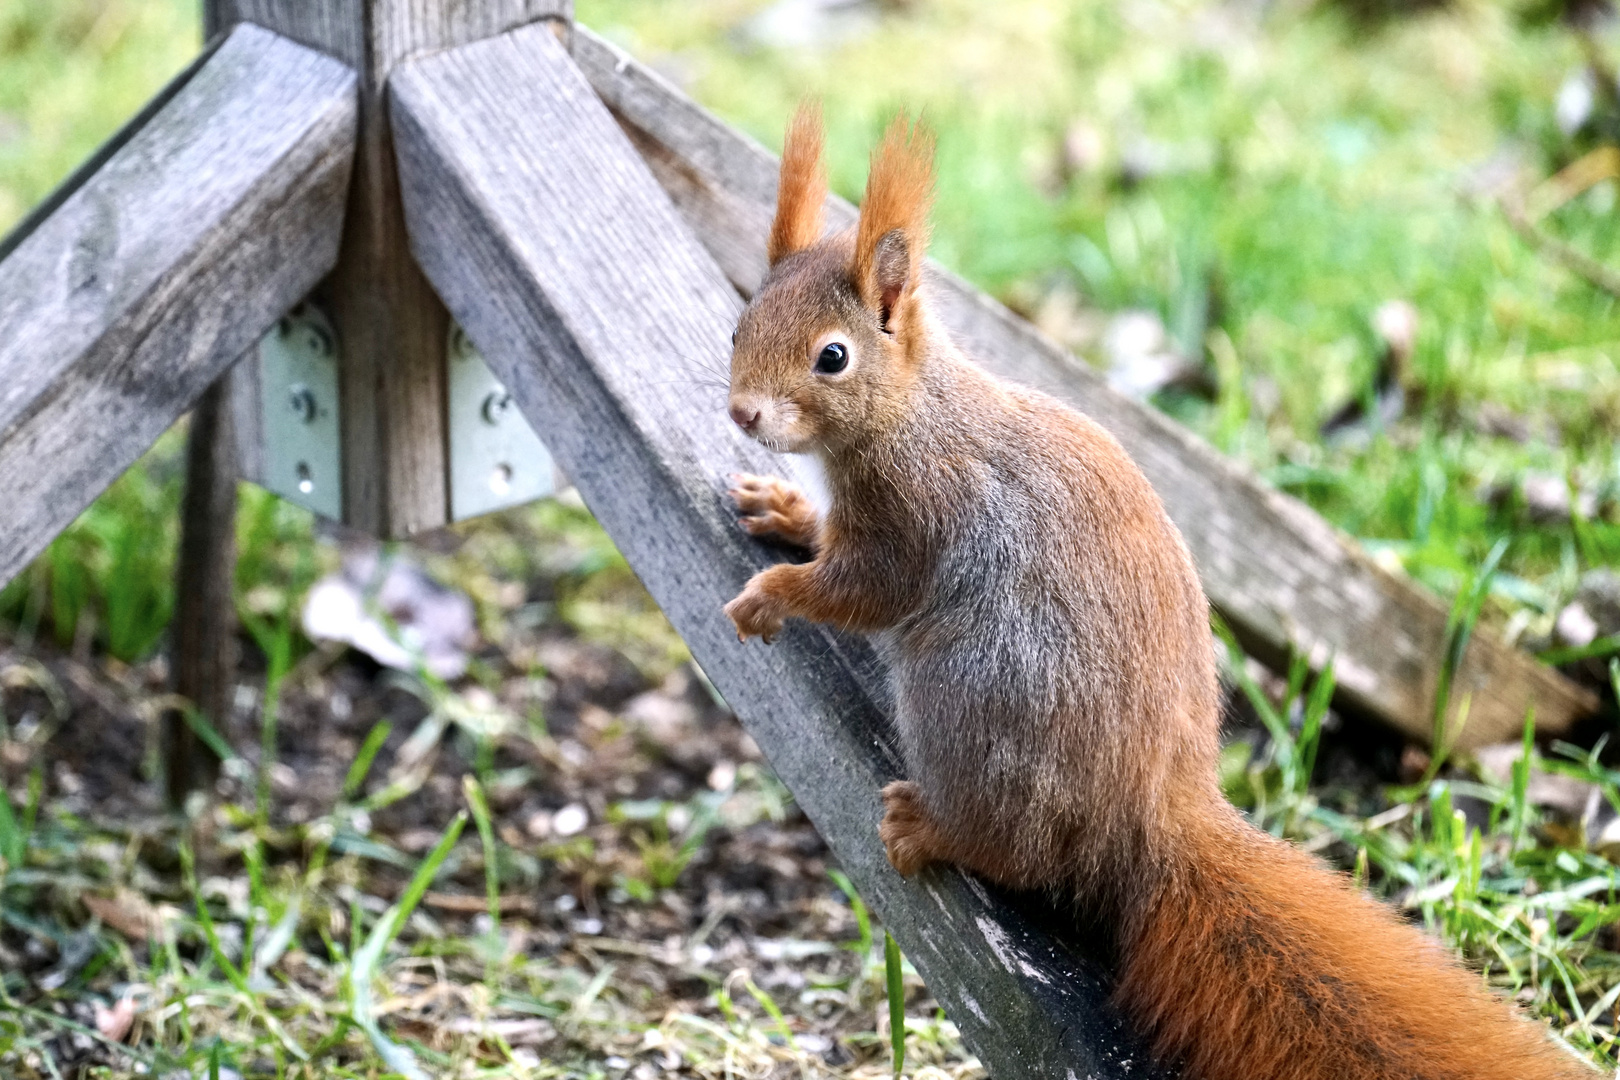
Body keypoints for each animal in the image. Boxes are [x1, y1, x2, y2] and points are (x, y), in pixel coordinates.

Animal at [716, 105, 1587, 1080]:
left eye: (832, 357)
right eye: (745, 320)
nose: (744, 412)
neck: (910, 412)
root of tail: (1153, 819)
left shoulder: (918, 512)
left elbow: (863, 590)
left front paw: (776, 592)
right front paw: (787, 507)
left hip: (974, 694)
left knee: (1022, 849)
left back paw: (935, 830)